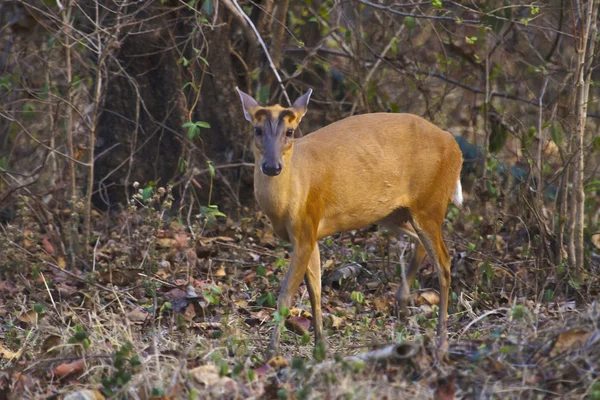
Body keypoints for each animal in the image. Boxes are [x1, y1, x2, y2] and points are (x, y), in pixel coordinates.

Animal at [237, 87, 462, 356]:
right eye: (257, 130)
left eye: (289, 132)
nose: (272, 166)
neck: (290, 194)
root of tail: (455, 146)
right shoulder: (310, 234)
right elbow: (315, 290)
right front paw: (320, 348)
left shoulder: (306, 227)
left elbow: (285, 296)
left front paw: (271, 353)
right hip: (393, 213)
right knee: (422, 244)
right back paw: (402, 305)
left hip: (430, 204)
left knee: (445, 261)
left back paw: (442, 340)